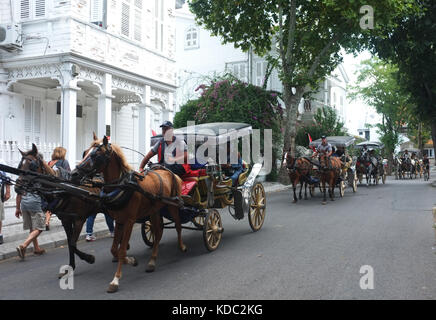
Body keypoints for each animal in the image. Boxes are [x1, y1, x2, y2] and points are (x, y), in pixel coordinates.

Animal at [16, 144, 101, 276]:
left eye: (32, 166)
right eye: (20, 165)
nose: (17, 187)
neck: (63, 190)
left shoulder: (79, 220)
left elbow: (72, 243)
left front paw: (89, 258)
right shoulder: (66, 220)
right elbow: (70, 244)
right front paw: (71, 267)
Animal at [73, 134, 186, 292]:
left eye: (96, 155)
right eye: (84, 153)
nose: (74, 173)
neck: (122, 185)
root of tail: (167, 171)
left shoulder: (130, 221)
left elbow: (121, 251)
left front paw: (115, 280)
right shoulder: (119, 220)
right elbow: (114, 249)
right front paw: (132, 261)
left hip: (173, 206)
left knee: (178, 226)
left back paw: (181, 246)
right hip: (154, 210)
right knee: (158, 232)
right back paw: (152, 261)